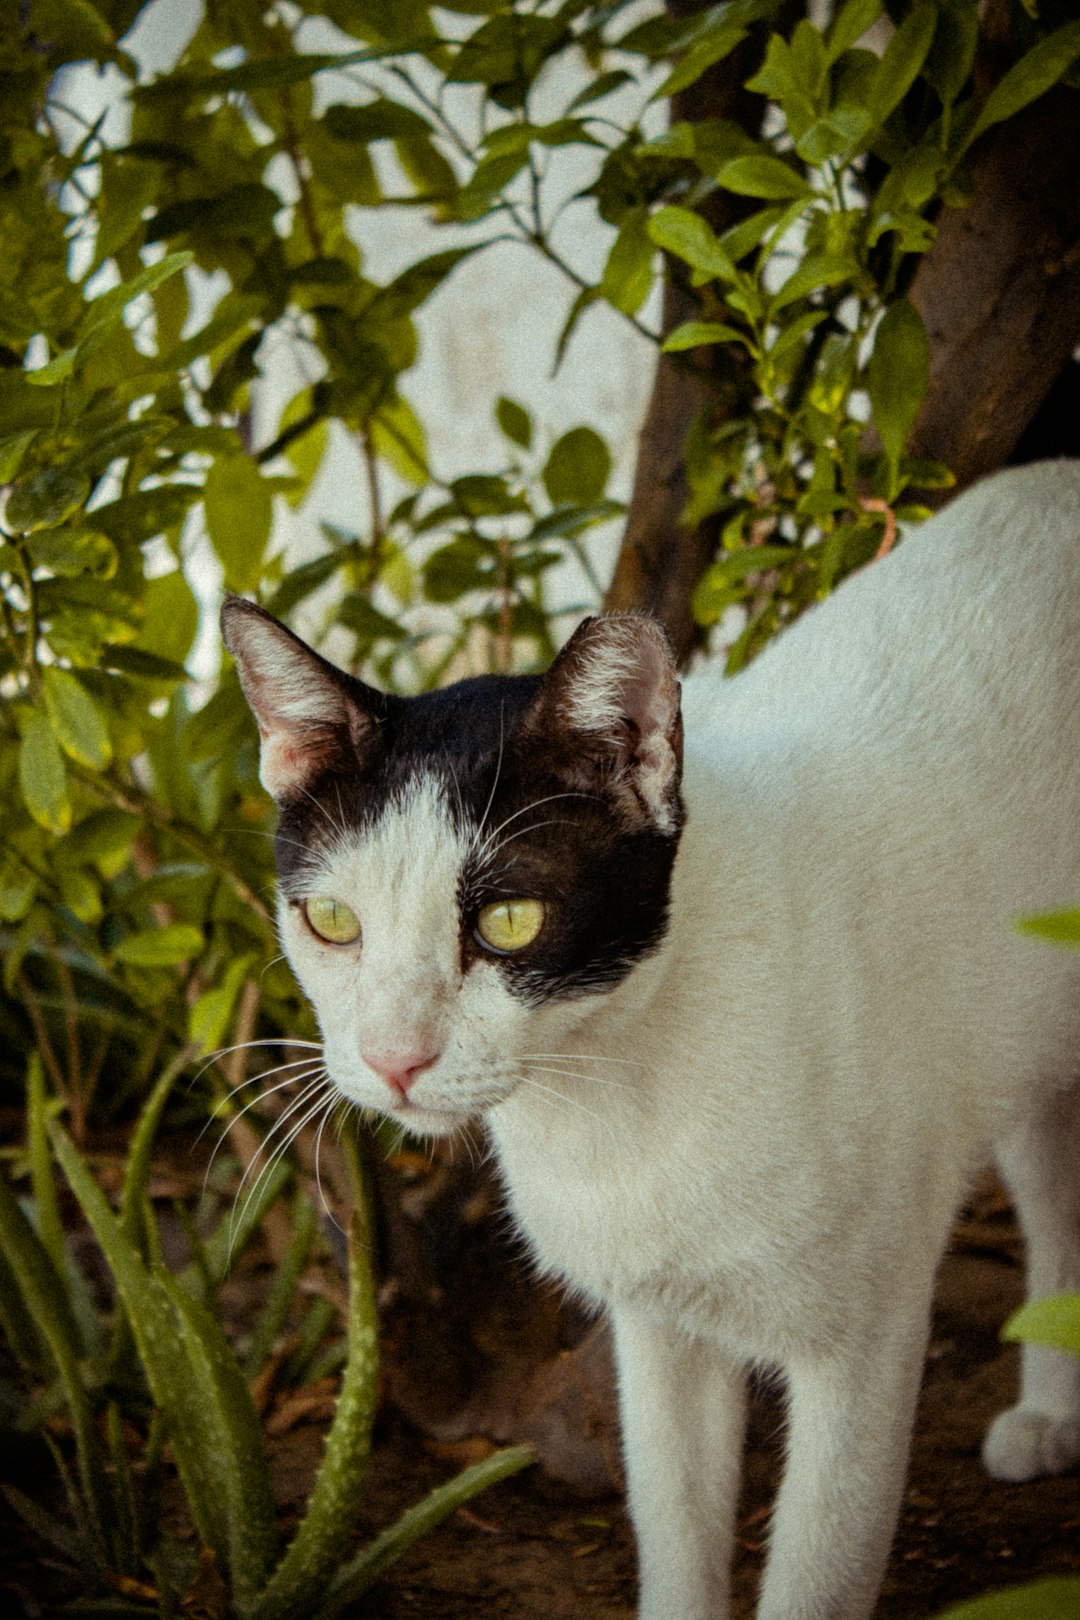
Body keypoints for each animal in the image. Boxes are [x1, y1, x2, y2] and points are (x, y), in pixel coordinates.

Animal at [221, 456, 1080, 1620]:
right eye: (331, 921)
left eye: (509, 921)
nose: (396, 1059)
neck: (614, 1093)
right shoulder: (658, 1332)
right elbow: (674, 1529)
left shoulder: (865, 1340)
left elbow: (819, 1570)